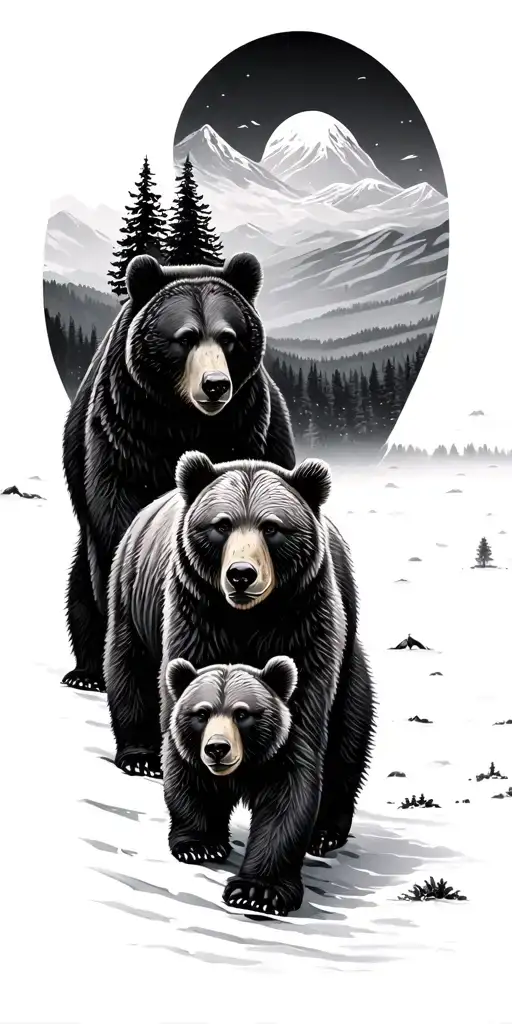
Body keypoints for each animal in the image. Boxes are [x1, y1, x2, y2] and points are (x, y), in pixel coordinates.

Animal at [61, 251, 295, 693]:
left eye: (228, 337)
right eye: (185, 337)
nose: (216, 385)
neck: (182, 422)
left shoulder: (247, 429)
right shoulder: (124, 431)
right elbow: (117, 520)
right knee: (81, 584)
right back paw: (86, 673)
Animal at [162, 656, 298, 914]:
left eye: (242, 714)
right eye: (202, 713)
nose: (217, 748)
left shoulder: (281, 757)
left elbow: (282, 808)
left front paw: (257, 892)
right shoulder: (192, 759)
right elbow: (190, 785)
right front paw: (200, 846)